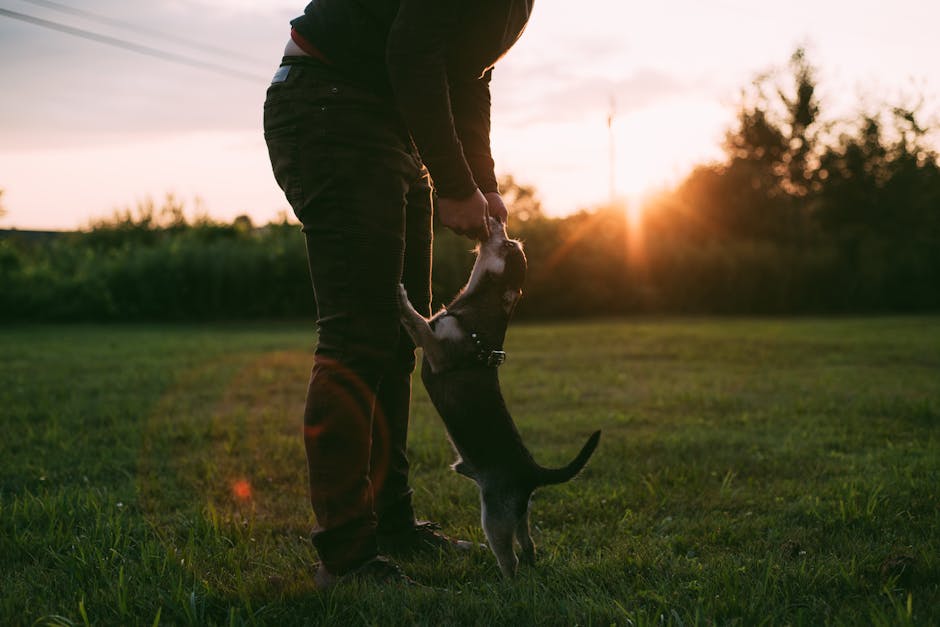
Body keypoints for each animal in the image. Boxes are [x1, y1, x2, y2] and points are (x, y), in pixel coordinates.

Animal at [396, 217, 604, 580]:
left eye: (507, 246)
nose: (497, 218)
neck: (474, 305)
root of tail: (533, 472)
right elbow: (422, 321)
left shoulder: (437, 350)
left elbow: (418, 322)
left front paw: (400, 295)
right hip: (518, 514)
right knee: (528, 543)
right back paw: (532, 566)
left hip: (494, 517)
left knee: (511, 560)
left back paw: (506, 582)